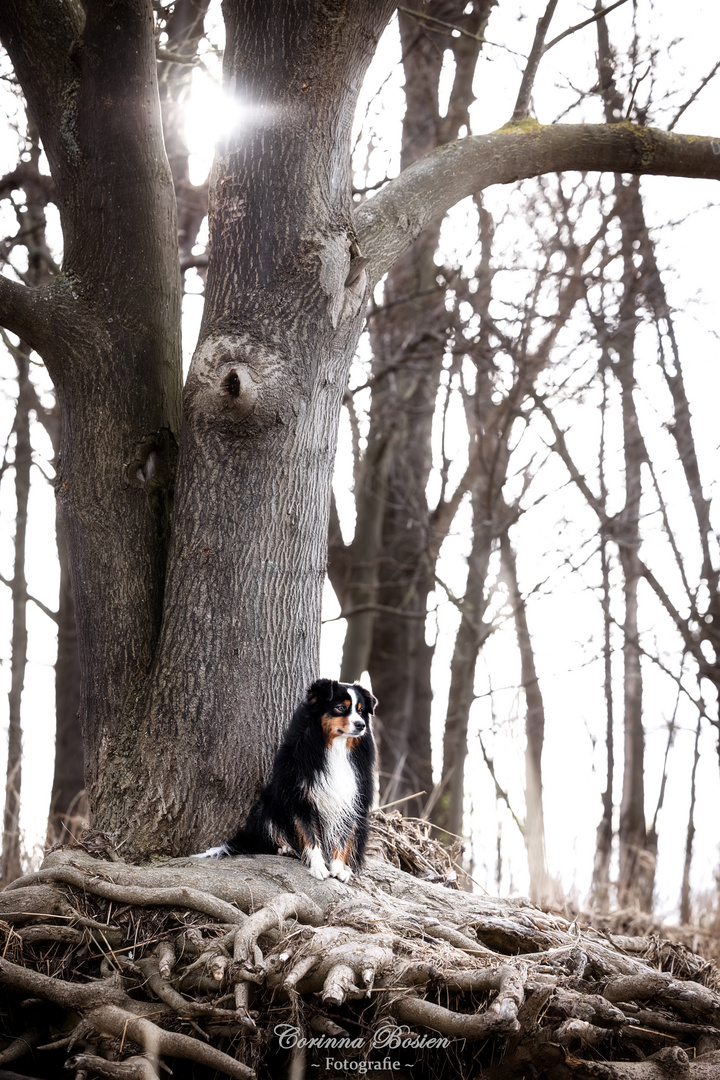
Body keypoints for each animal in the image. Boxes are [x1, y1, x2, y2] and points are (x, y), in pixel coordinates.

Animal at [197, 678, 377, 881]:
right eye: (340, 707)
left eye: (361, 711)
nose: (361, 725)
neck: (334, 747)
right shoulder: (300, 798)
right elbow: (310, 836)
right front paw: (318, 867)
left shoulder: (349, 798)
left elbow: (342, 838)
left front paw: (338, 869)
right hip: (266, 805)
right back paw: (286, 848)